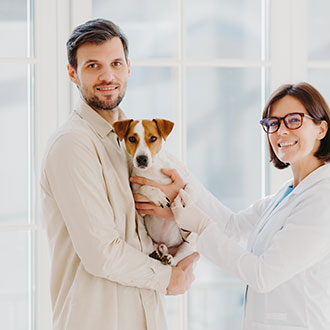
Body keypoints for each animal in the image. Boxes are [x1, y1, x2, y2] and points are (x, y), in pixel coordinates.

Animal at [112, 118, 192, 266]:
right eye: (132, 138)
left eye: (153, 138)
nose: (142, 159)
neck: (152, 171)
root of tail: (168, 246)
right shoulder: (136, 194)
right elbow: (145, 187)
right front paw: (158, 196)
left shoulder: (182, 180)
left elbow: (188, 190)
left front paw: (184, 205)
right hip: (153, 244)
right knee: (164, 253)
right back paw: (160, 254)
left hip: (186, 246)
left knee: (177, 259)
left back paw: (168, 257)